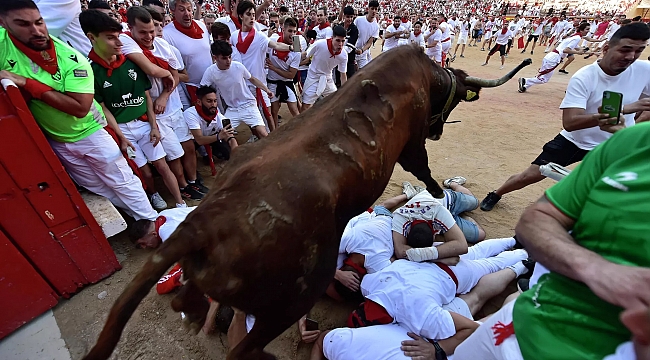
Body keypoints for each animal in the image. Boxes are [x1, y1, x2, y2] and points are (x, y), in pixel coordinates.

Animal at [83, 45, 528, 360]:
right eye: (449, 102)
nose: (439, 131)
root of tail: (202, 225)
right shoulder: (413, 144)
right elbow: (424, 169)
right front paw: (437, 196)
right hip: (294, 296)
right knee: (242, 348)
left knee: (191, 302)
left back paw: (192, 313)